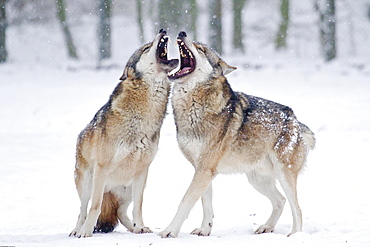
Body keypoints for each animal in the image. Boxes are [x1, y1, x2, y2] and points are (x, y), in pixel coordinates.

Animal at [69, 29, 179, 238]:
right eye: (146, 47)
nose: (162, 30)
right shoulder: (102, 168)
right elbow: (94, 207)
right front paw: (86, 231)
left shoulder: (143, 170)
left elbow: (139, 206)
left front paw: (141, 226)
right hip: (87, 182)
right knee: (82, 209)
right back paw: (77, 230)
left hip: (127, 188)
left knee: (120, 212)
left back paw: (134, 229)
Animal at [159, 30, 316, 237]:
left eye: (201, 49)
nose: (182, 32)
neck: (192, 107)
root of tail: (296, 121)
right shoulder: (202, 169)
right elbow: (205, 203)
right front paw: (204, 230)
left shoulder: (204, 169)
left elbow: (185, 202)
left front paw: (169, 231)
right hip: (256, 180)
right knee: (280, 201)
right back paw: (266, 227)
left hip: (284, 175)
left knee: (296, 208)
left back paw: (294, 235)